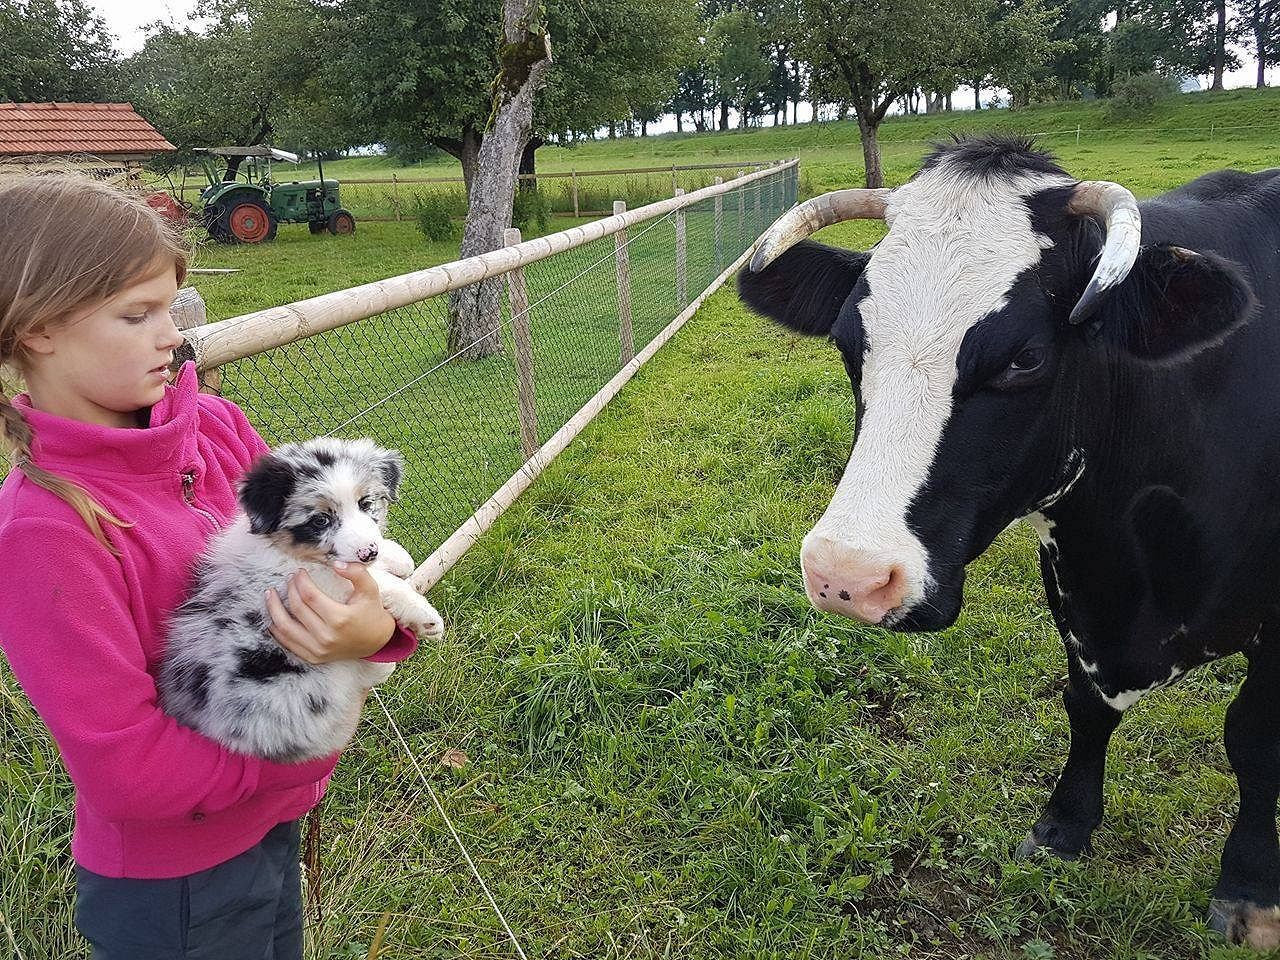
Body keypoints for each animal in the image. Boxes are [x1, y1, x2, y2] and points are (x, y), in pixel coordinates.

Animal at [736, 135, 1280, 948]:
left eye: (1024, 358)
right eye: (847, 341)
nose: (846, 574)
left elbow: (1251, 738)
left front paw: (1248, 888)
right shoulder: (1075, 588)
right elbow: (1085, 706)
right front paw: (1063, 828)